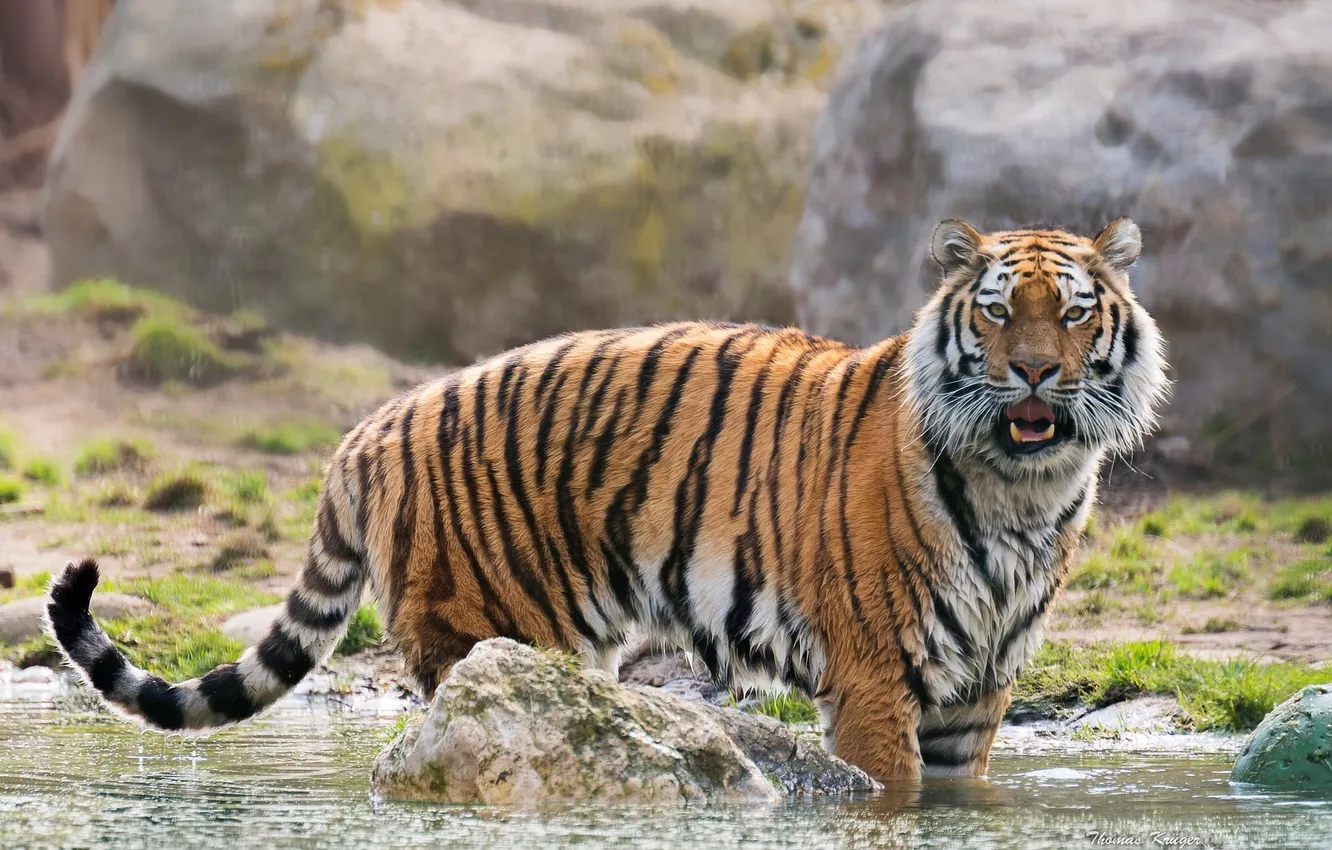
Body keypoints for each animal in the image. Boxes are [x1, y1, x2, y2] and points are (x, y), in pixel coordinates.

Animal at [44, 215, 1166, 783]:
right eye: (997, 314)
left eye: (1072, 314)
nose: (1033, 373)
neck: (1023, 489)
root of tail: (373, 424)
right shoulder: (874, 678)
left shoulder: (979, 688)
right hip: (499, 631)